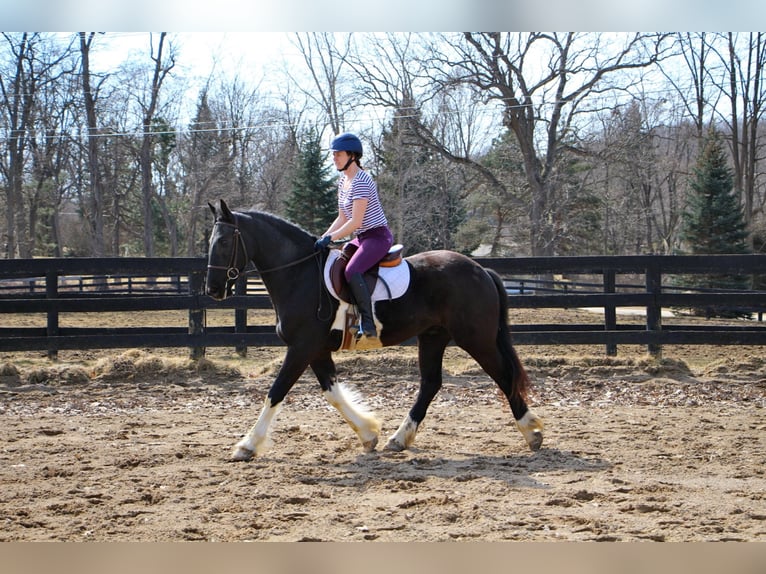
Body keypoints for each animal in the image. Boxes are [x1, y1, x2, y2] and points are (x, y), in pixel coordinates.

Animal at [207, 200, 544, 462]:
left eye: (223, 242)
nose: (212, 290)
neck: (300, 274)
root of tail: (480, 270)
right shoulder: (316, 350)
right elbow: (333, 394)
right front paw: (368, 434)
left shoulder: (302, 348)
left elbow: (276, 392)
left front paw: (247, 445)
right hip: (433, 337)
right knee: (431, 384)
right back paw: (399, 438)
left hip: (475, 338)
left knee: (503, 376)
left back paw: (532, 432)